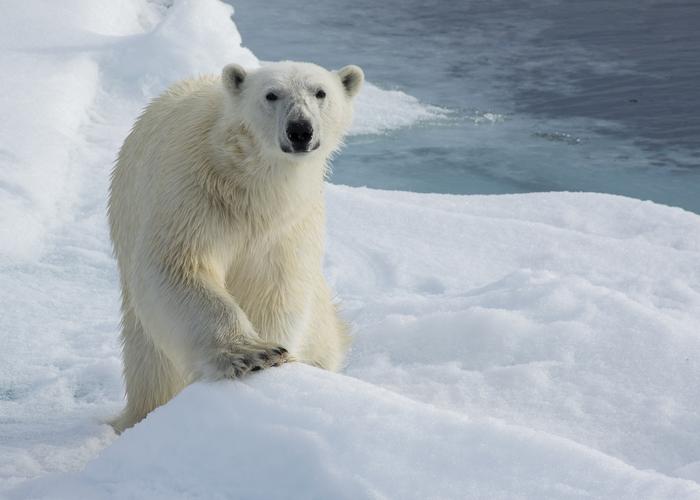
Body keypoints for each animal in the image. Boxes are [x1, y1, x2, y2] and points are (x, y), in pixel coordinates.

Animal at [108, 60, 366, 432]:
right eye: (271, 94)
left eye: (321, 93)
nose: (300, 130)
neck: (250, 181)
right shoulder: (194, 194)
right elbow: (180, 266)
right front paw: (254, 354)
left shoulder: (287, 225)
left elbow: (275, 286)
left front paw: (277, 355)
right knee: (153, 368)